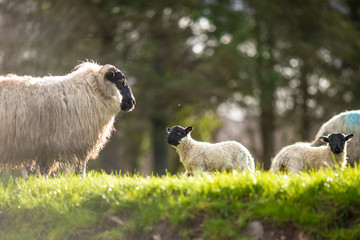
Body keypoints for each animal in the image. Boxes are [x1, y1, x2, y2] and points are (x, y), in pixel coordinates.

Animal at [0, 61, 135, 175]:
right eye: (120, 79)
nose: (132, 102)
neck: (90, 90)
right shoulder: (77, 142)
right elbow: (81, 166)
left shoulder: (45, 147)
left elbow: (45, 170)